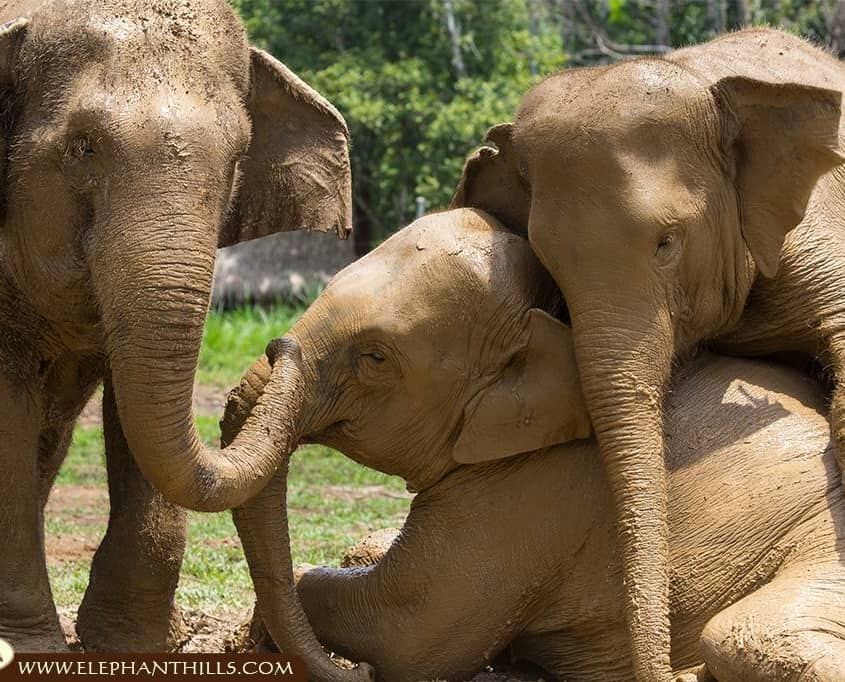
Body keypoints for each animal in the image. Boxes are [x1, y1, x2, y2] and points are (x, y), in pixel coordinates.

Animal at [0, 1, 365, 678]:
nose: (282, 346)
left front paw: (131, 646)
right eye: (81, 146)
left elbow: (135, 406)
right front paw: (30, 651)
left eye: (237, 158)